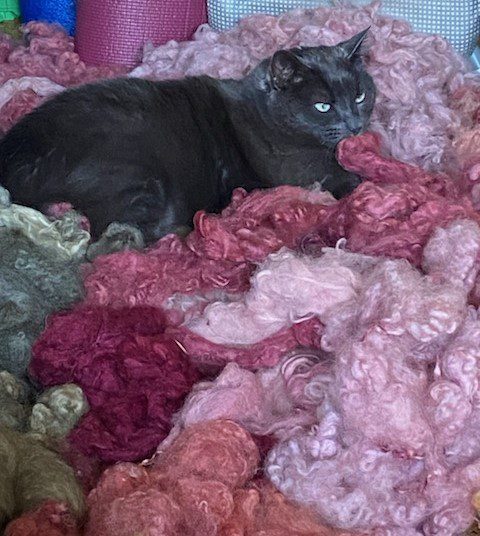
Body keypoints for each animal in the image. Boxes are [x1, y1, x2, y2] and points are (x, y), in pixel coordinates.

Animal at [0, 26, 376, 241]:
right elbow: (343, 180)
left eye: (360, 96)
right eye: (323, 106)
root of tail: (18, 155)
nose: (354, 124)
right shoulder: (296, 172)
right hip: (136, 175)